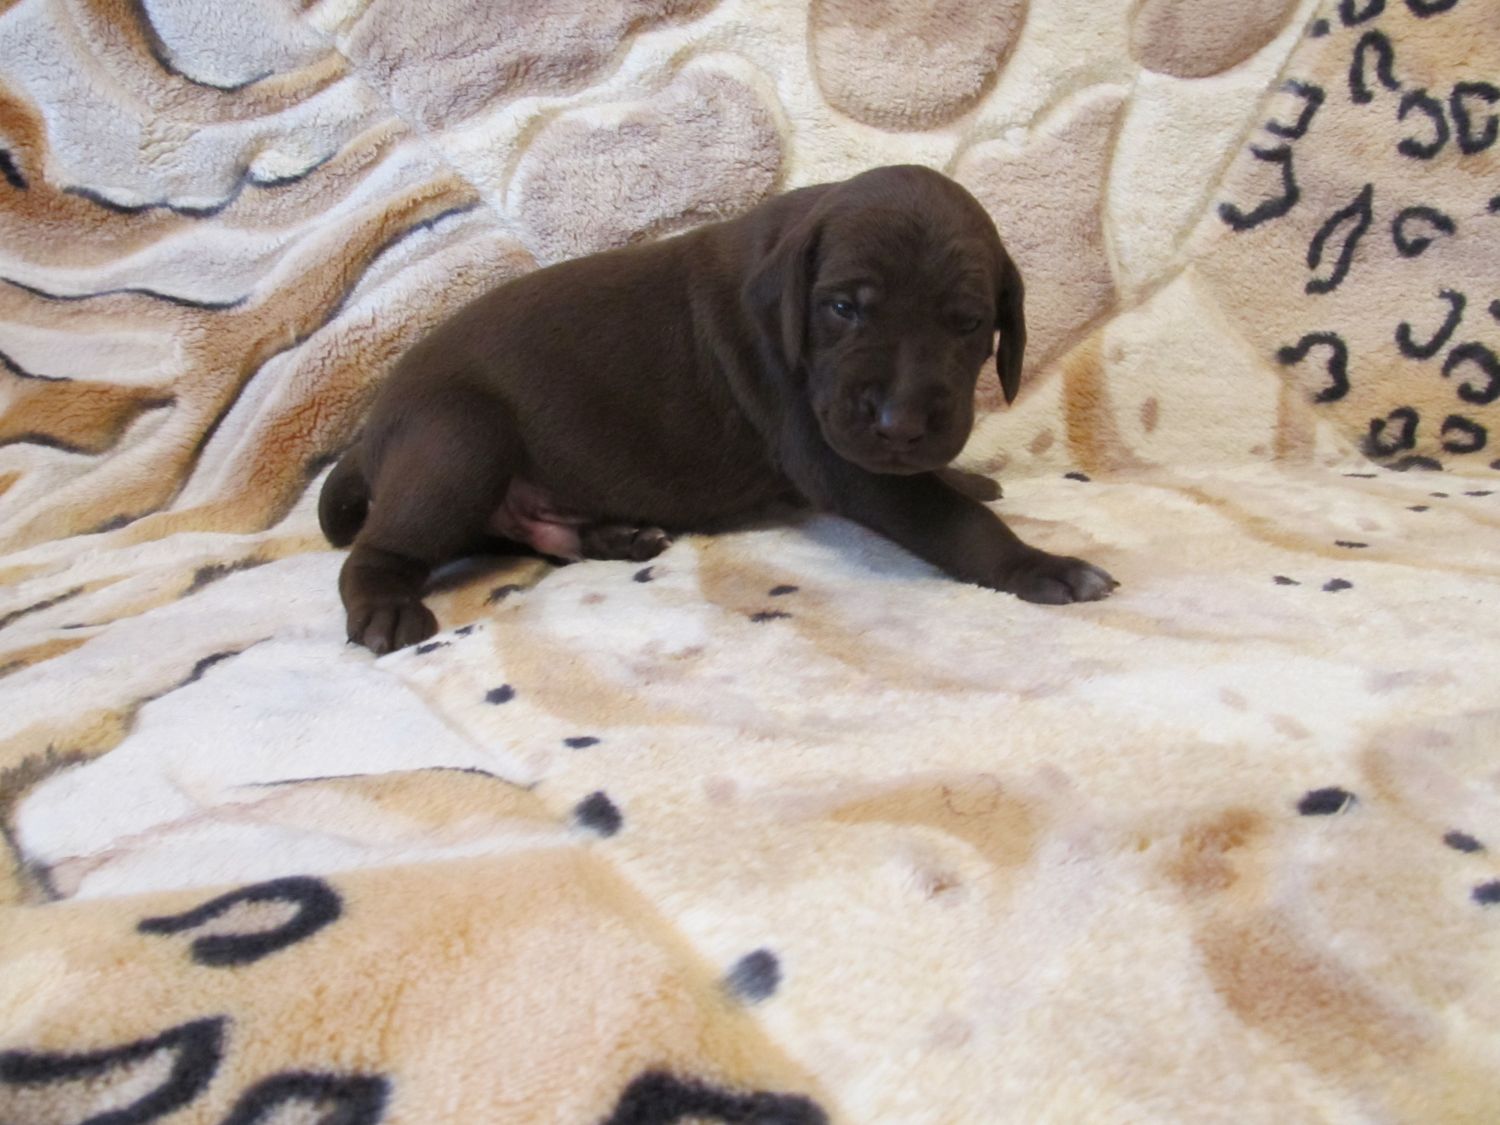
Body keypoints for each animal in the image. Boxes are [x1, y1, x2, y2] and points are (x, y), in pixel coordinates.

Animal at [319, 164, 1117, 654]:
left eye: (968, 323)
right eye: (842, 309)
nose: (901, 426)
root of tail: (369, 433)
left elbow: (939, 485)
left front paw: (966, 475)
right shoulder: (834, 453)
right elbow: (951, 520)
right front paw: (1036, 564)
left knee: (524, 532)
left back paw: (616, 536)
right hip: (458, 440)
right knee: (383, 548)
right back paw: (385, 608)